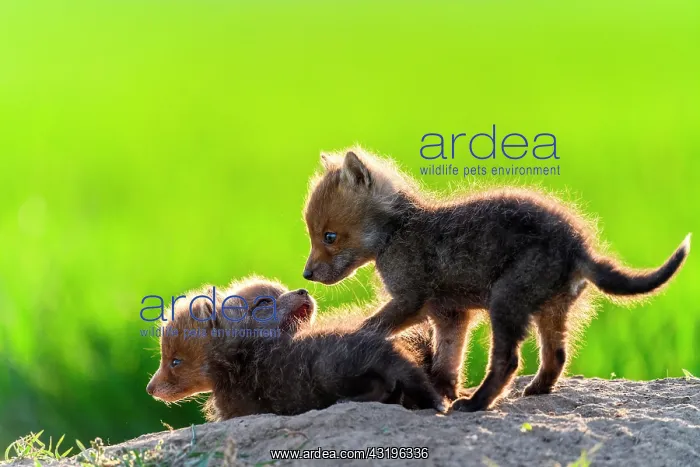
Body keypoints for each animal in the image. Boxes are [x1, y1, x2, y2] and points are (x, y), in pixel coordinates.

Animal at [302, 148, 690, 412]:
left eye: (329, 237)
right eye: (312, 235)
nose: (306, 274)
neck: (397, 231)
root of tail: (577, 242)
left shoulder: (411, 300)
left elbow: (372, 327)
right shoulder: (451, 315)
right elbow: (449, 359)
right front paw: (443, 391)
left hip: (505, 302)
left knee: (509, 361)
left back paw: (477, 404)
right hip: (549, 309)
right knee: (557, 354)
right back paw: (535, 391)